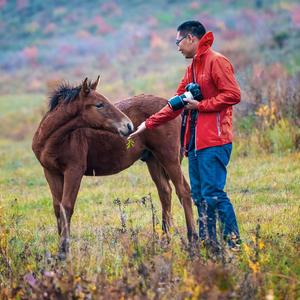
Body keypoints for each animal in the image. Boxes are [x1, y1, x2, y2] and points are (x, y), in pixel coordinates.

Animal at [32, 77, 197, 255]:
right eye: (99, 104)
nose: (129, 126)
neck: (53, 141)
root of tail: (170, 106)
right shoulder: (51, 172)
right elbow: (58, 208)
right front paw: (61, 250)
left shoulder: (74, 170)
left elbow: (67, 207)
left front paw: (64, 251)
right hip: (153, 160)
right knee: (165, 192)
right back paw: (164, 240)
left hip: (168, 157)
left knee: (183, 191)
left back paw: (192, 239)